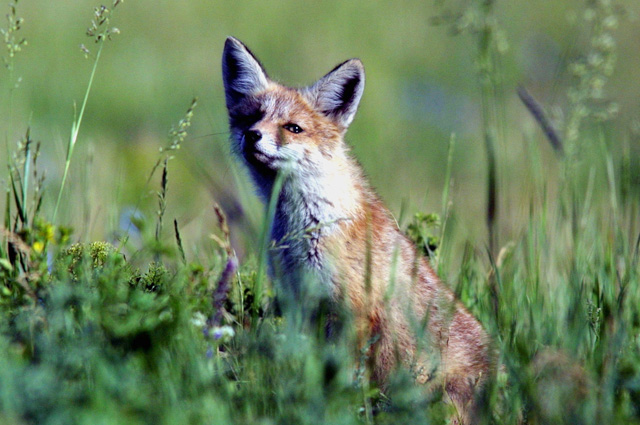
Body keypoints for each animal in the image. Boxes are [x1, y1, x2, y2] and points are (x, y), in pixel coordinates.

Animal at [222, 37, 492, 424]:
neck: (307, 228)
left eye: (293, 128)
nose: (252, 135)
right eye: (250, 117)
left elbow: (343, 382)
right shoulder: (300, 303)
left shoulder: (353, 312)